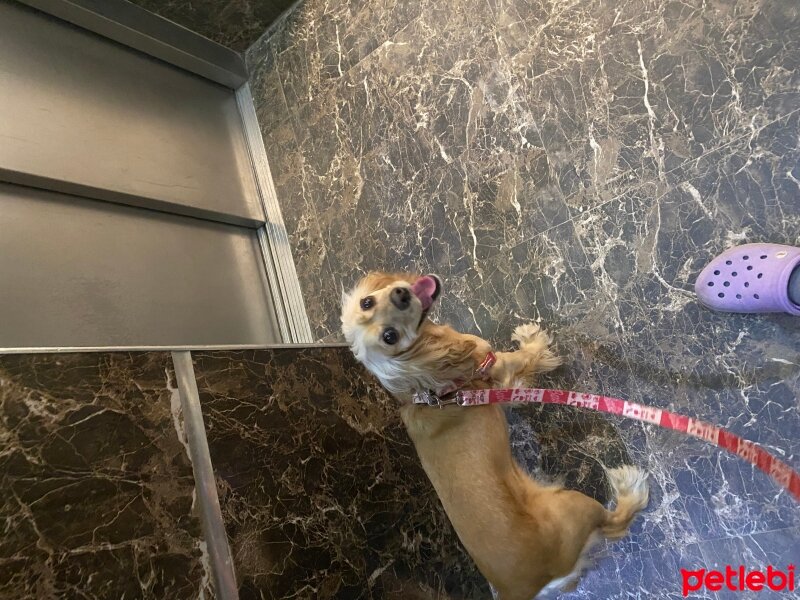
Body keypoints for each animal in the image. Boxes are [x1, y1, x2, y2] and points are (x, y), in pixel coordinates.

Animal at [340, 274, 648, 600]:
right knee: (615, 523)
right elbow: (525, 355)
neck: (424, 383)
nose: (400, 295)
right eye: (390, 337)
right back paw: (630, 487)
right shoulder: (496, 362)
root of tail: (530, 587)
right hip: (574, 507)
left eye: (367, 302)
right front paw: (533, 339)